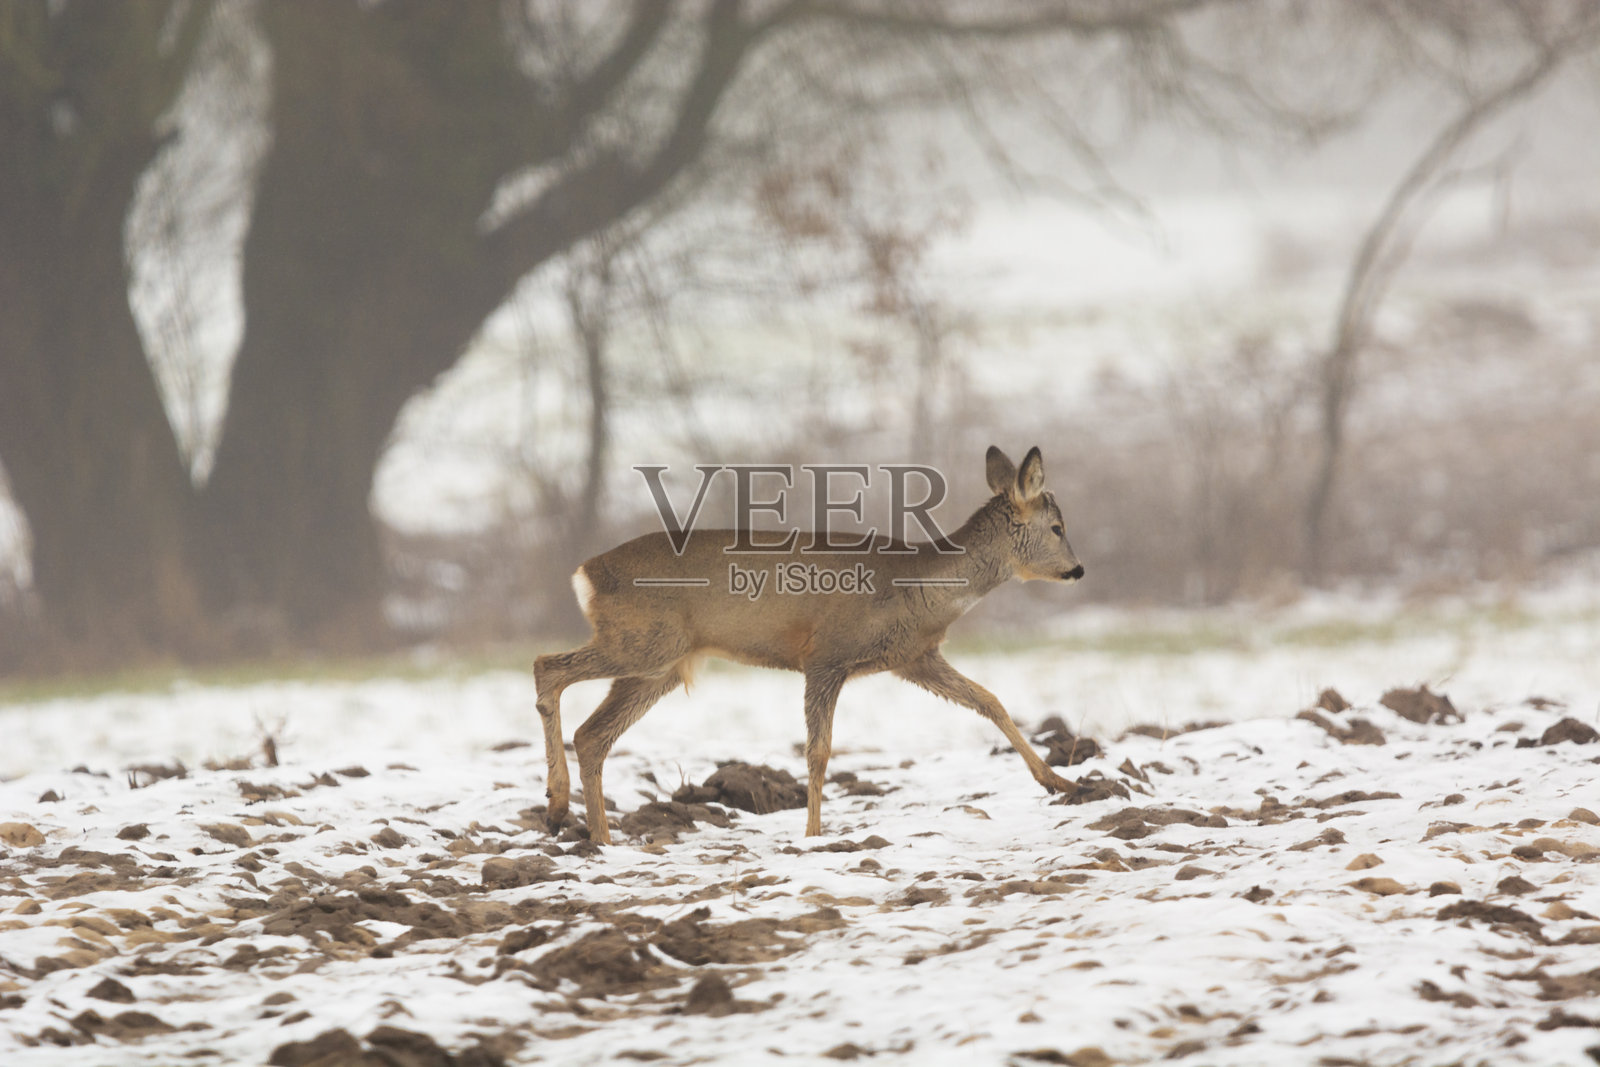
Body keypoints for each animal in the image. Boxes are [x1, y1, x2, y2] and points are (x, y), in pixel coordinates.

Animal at [533, 445, 1084, 844]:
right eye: (1058, 527)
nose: (1078, 570)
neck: (921, 586)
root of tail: (585, 573)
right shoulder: (826, 656)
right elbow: (818, 752)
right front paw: (814, 834)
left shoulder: (914, 659)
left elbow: (990, 700)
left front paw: (1060, 782)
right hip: (643, 643)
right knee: (547, 667)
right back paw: (559, 808)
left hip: (660, 664)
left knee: (592, 734)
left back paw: (598, 838)